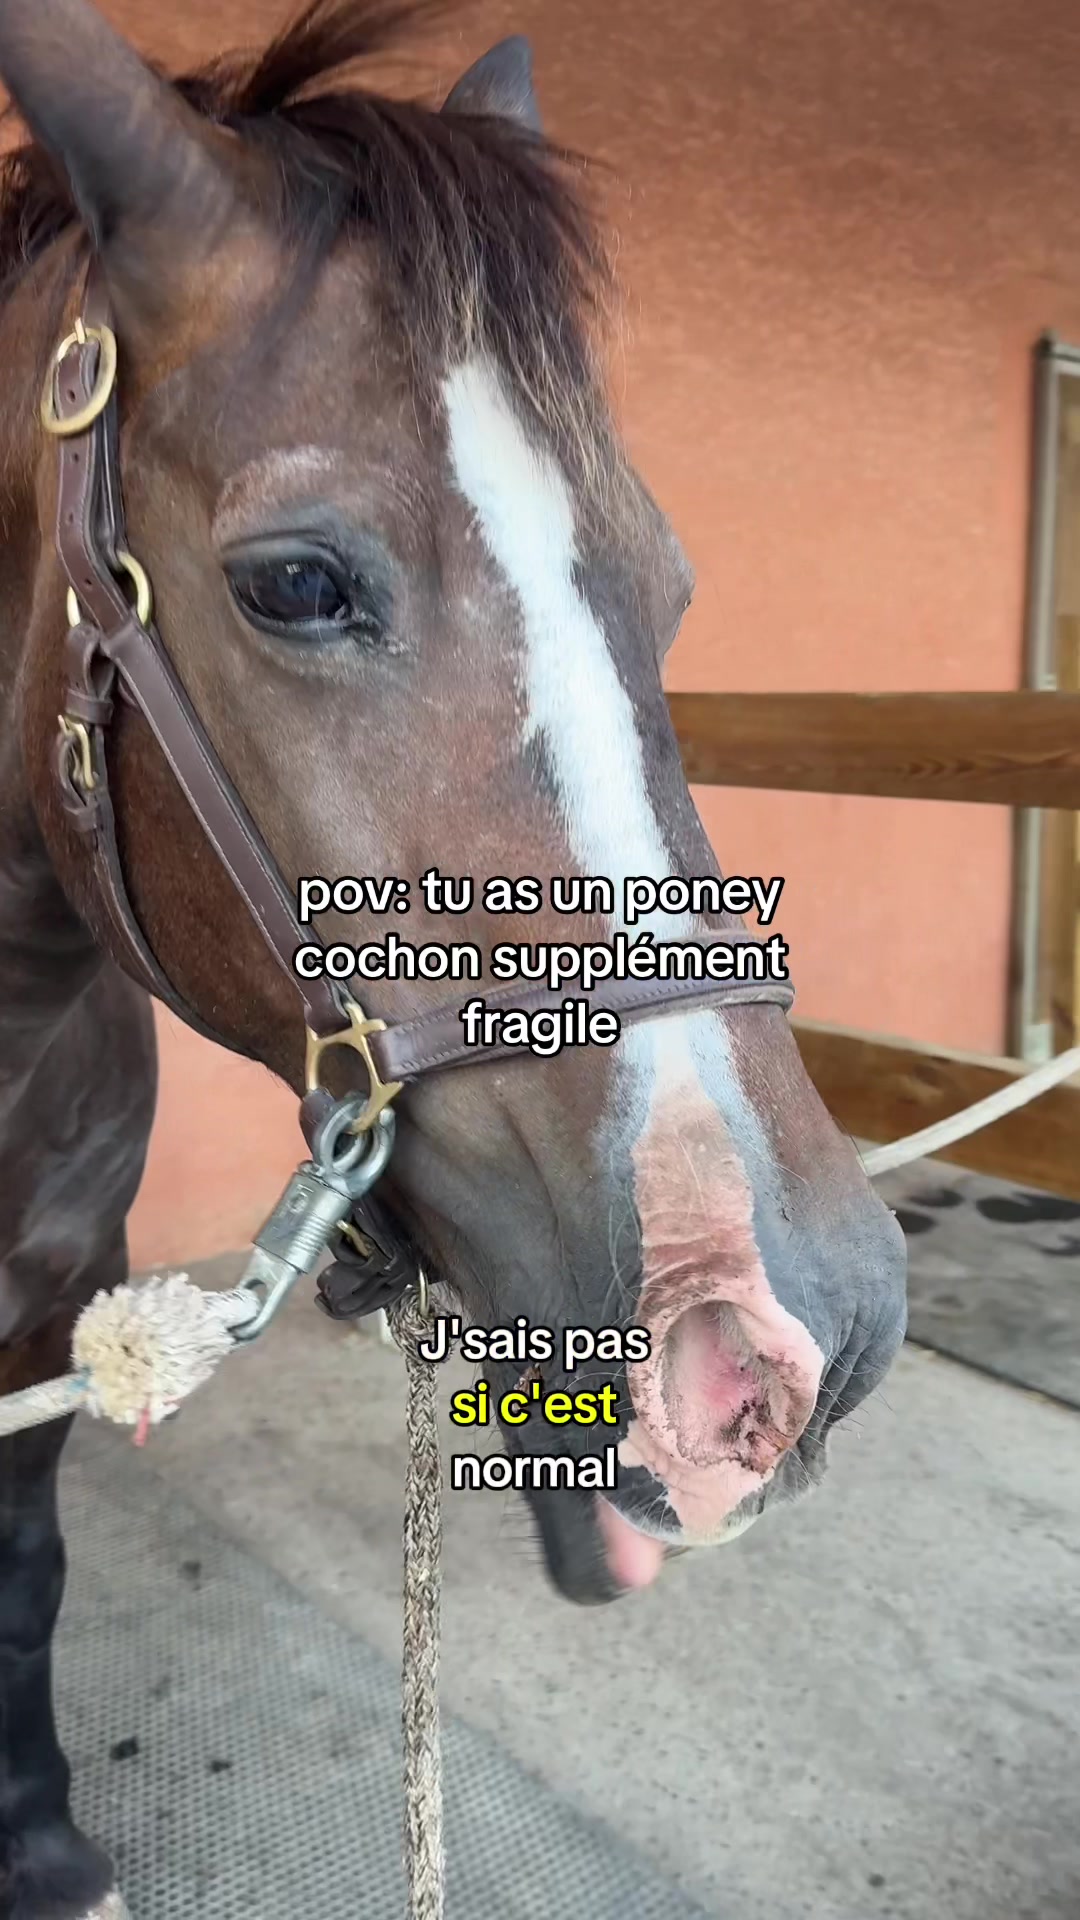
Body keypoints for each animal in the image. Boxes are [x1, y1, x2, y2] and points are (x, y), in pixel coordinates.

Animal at [0, 2, 907, 1912]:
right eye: (295, 583)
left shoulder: (57, 1298)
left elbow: (28, 1565)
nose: (803, 1325)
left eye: (671, 581)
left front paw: (37, 1830)